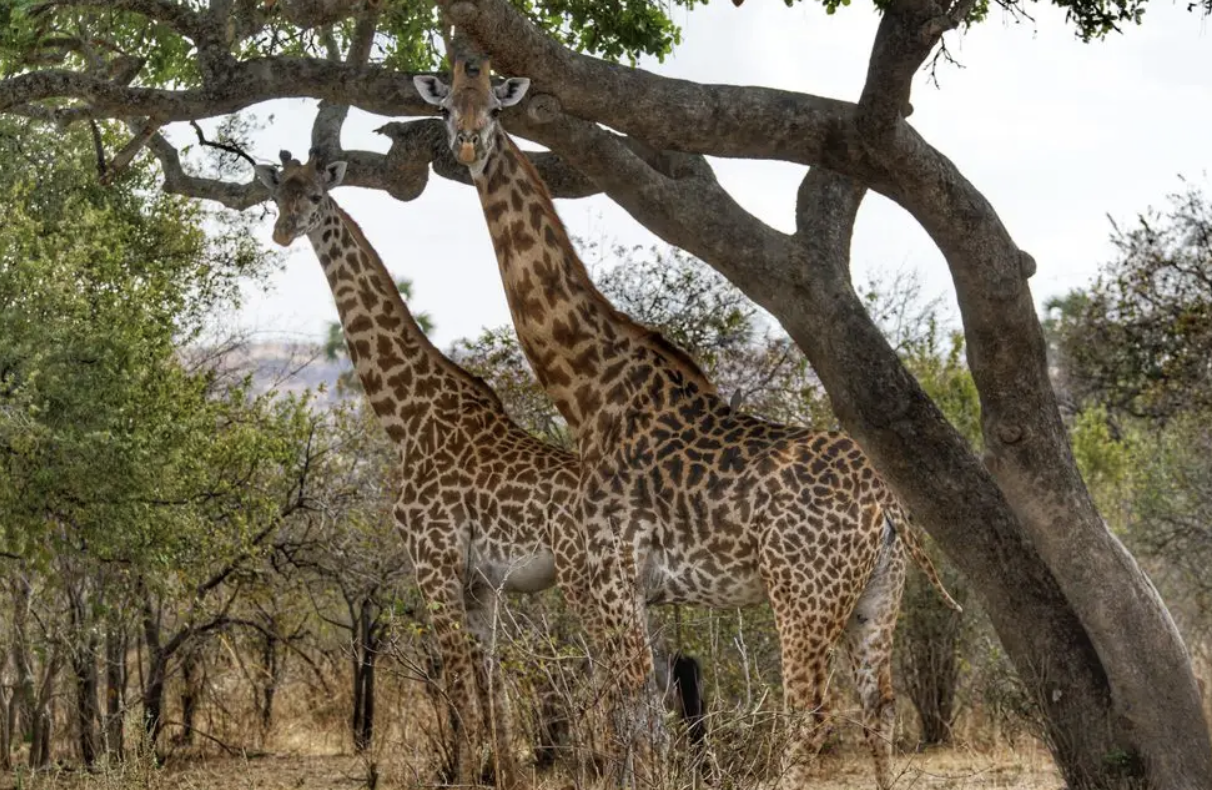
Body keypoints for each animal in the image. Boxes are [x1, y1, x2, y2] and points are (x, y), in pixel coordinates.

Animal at [254, 149, 598, 789]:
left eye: (315, 196)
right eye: (275, 195)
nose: (283, 232)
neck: (407, 417)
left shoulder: (432, 560)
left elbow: (460, 683)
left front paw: (463, 775)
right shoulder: (480, 580)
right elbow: (492, 688)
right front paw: (499, 775)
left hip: (588, 578)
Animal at [416, 62, 961, 790]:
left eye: (496, 108)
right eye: (446, 105)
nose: (470, 143)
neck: (589, 395)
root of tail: (887, 507)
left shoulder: (608, 577)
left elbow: (631, 714)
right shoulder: (637, 591)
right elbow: (641, 714)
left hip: (802, 594)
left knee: (810, 712)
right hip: (878, 594)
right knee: (880, 706)